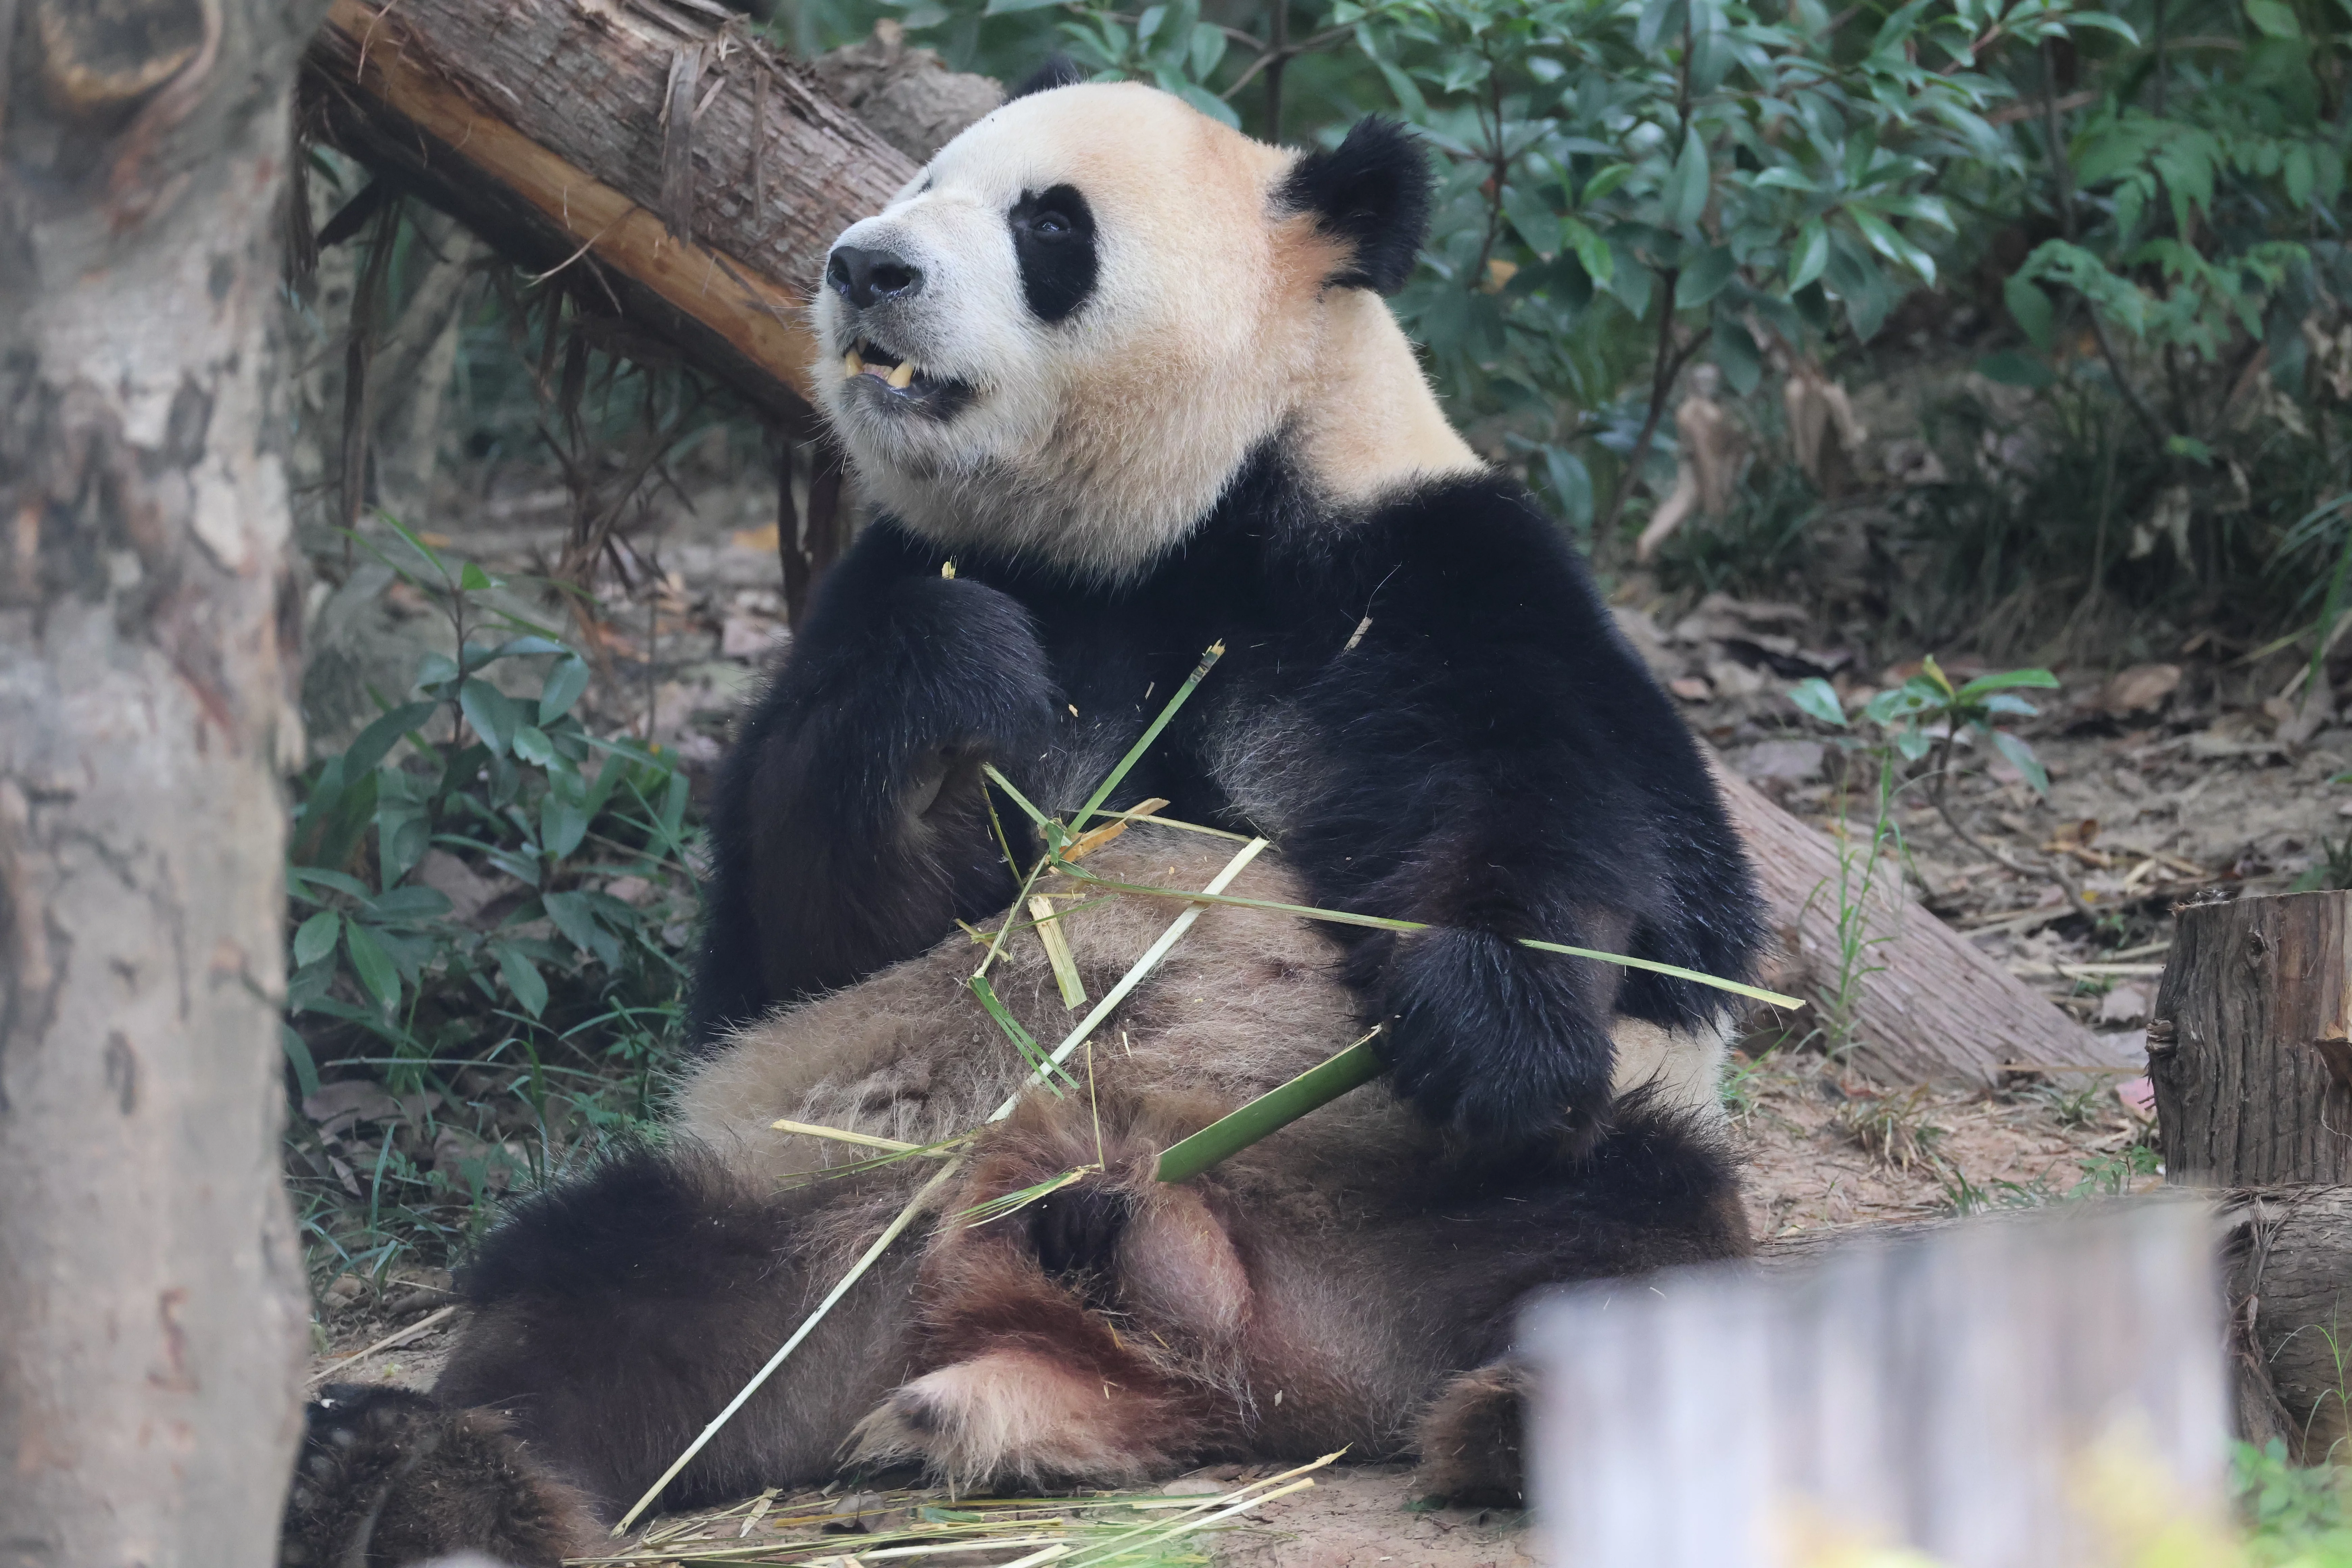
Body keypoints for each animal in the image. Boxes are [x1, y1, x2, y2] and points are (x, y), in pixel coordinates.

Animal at [279, 65, 1764, 1568]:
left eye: (1050, 223)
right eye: (922, 179)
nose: (865, 265)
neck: (1159, 537)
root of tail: (1228, 1340)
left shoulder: (1420, 561)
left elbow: (1603, 835)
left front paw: (1490, 1024)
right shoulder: (896, 586)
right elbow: (796, 930)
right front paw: (959, 671)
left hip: (1411, 1184)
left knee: (1629, 1236)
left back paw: (1533, 1415)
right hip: (828, 1209)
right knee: (593, 1279)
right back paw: (424, 1478)